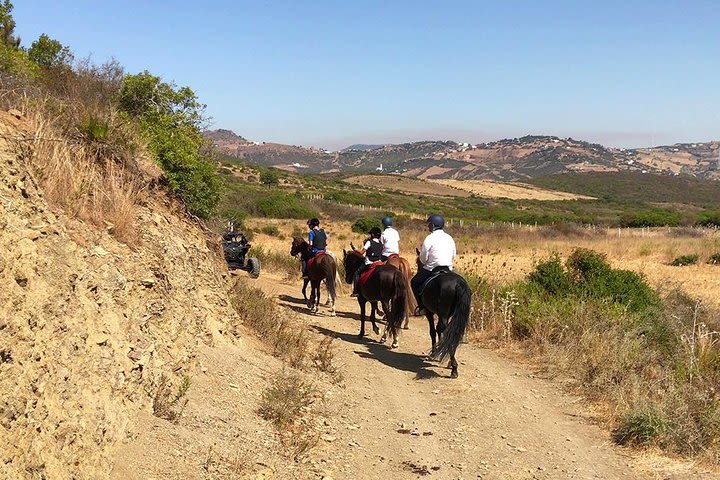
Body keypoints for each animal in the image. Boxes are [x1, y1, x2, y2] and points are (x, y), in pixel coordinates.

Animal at [402, 248, 470, 378]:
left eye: (418, 261)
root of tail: (457, 284)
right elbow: (439, 330)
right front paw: (440, 351)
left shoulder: (429, 312)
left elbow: (433, 331)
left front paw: (435, 352)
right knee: (451, 332)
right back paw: (450, 362)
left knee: (446, 331)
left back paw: (453, 367)